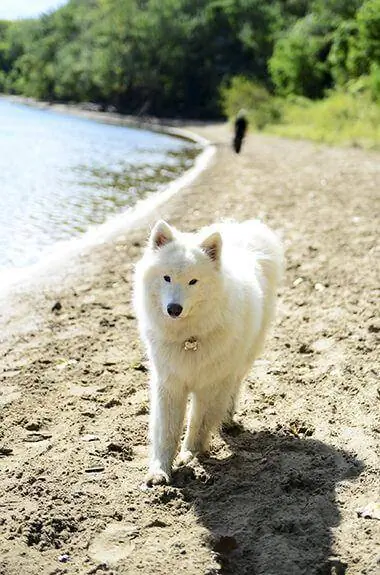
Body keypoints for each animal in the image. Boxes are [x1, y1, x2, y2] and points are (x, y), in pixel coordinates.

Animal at [133, 220, 282, 486]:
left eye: (193, 281)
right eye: (167, 278)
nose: (174, 308)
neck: (189, 339)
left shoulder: (211, 383)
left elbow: (199, 423)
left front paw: (190, 454)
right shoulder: (169, 383)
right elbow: (166, 431)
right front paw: (159, 471)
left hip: (241, 361)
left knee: (234, 388)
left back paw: (228, 419)